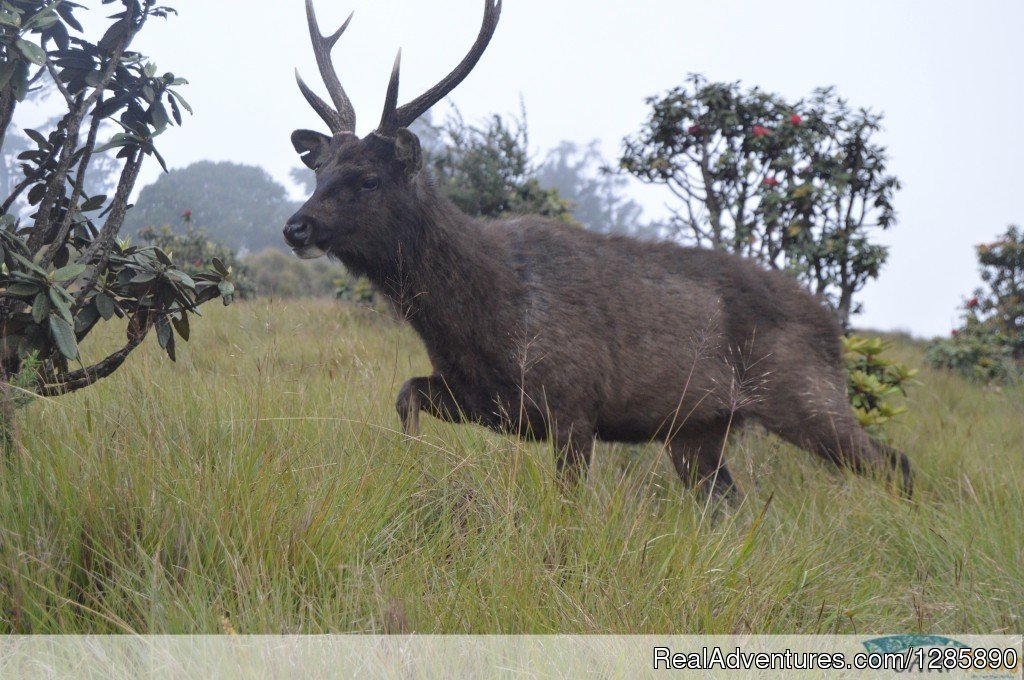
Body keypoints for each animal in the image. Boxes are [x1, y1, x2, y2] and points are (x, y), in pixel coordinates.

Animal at [286, 0, 913, 499]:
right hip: (698, 431)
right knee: (729, 503)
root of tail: (834, 326)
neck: (480, 316)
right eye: (321, 171)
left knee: (895, 462)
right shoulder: (483, 398)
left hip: (805, 394)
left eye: (369, 178)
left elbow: (568, 503)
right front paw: (412, 465)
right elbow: (405, 395)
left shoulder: (574, 401)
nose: (296, 227)